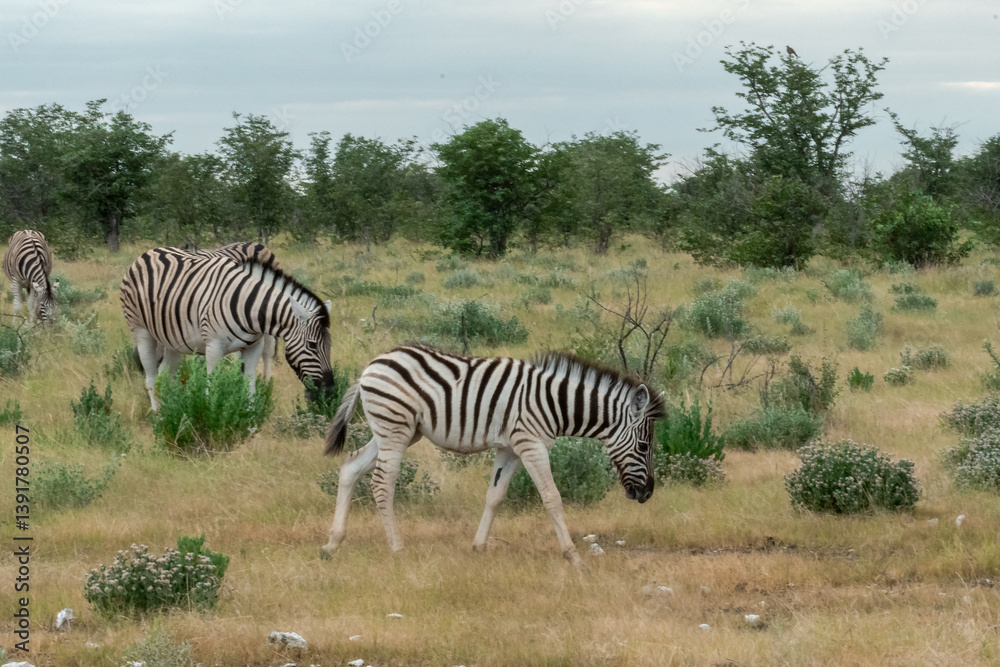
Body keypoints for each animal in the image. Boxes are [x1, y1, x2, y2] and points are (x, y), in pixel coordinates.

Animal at [120, 246, 335, 411]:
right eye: (312, 345)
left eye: (330, 346)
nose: (330, 392)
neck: (250, 308)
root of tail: (147, 253)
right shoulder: (213, 348)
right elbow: (211, 388)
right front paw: (210, 419)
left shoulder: (253, 348)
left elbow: (249, 388)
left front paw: (251, 425)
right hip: (141, 331)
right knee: (151, 379)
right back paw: (159, 417)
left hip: (172, 339)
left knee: (166, 376)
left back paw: (174, 409)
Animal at [321, 344, 665, 567]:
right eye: (644, 446)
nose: (648, 493)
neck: (554, 402)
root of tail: (371, 365)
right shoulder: (531, 444)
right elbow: (552, 497)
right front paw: (573, 556)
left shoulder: (509, 449)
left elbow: (495, 497)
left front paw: (478, 547)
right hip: (395, 429)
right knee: (382, 484)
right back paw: (397, 548)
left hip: (395, 431)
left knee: (351, 466)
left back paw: (333, 543)